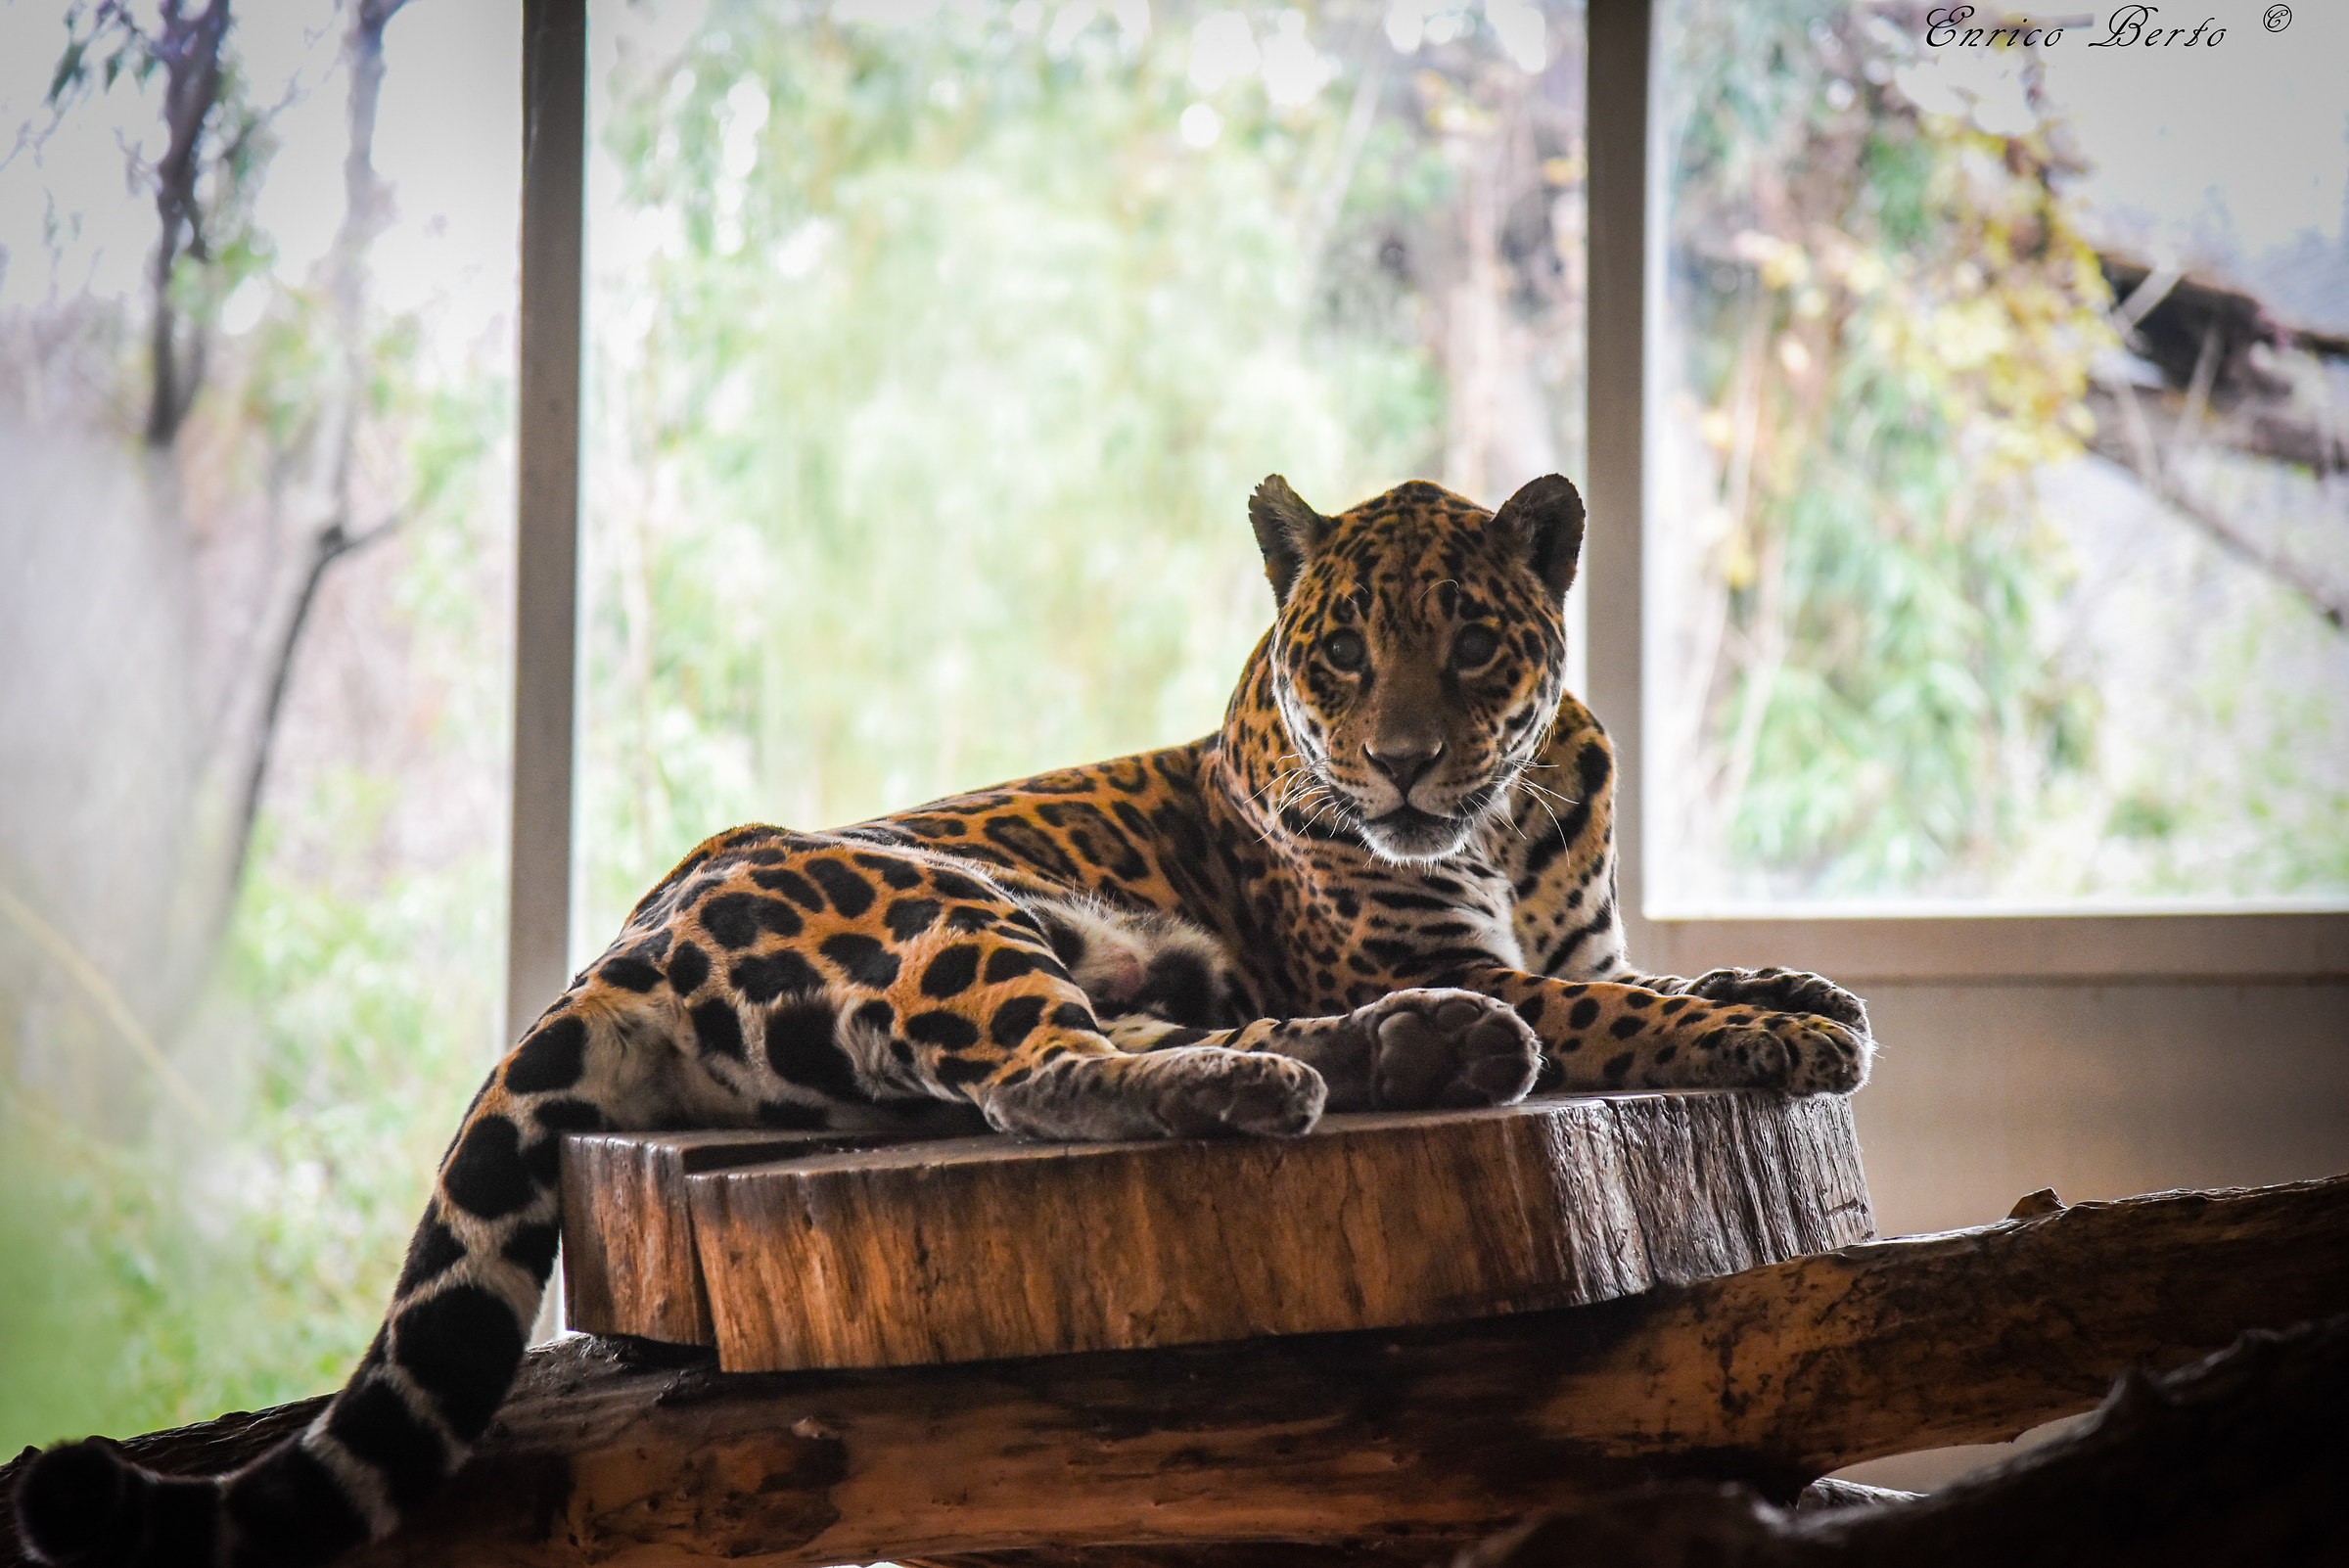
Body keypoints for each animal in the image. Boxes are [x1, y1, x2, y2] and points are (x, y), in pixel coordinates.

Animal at [14, 472, 1872, 1568]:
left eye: (1474, 643)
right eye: (1338, 655)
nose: (1404, 763)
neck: (1510, 820)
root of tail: (616, 948)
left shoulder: (1554, 918)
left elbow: (1644, 972)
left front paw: (1791, 987)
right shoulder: (1436, 947)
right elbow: (1612, 1007)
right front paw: (1777, 1034)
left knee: (1044, 1073)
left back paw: (1411, 1057)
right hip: (947, 912)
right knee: (1046, 1075)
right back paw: (1348, 1070)